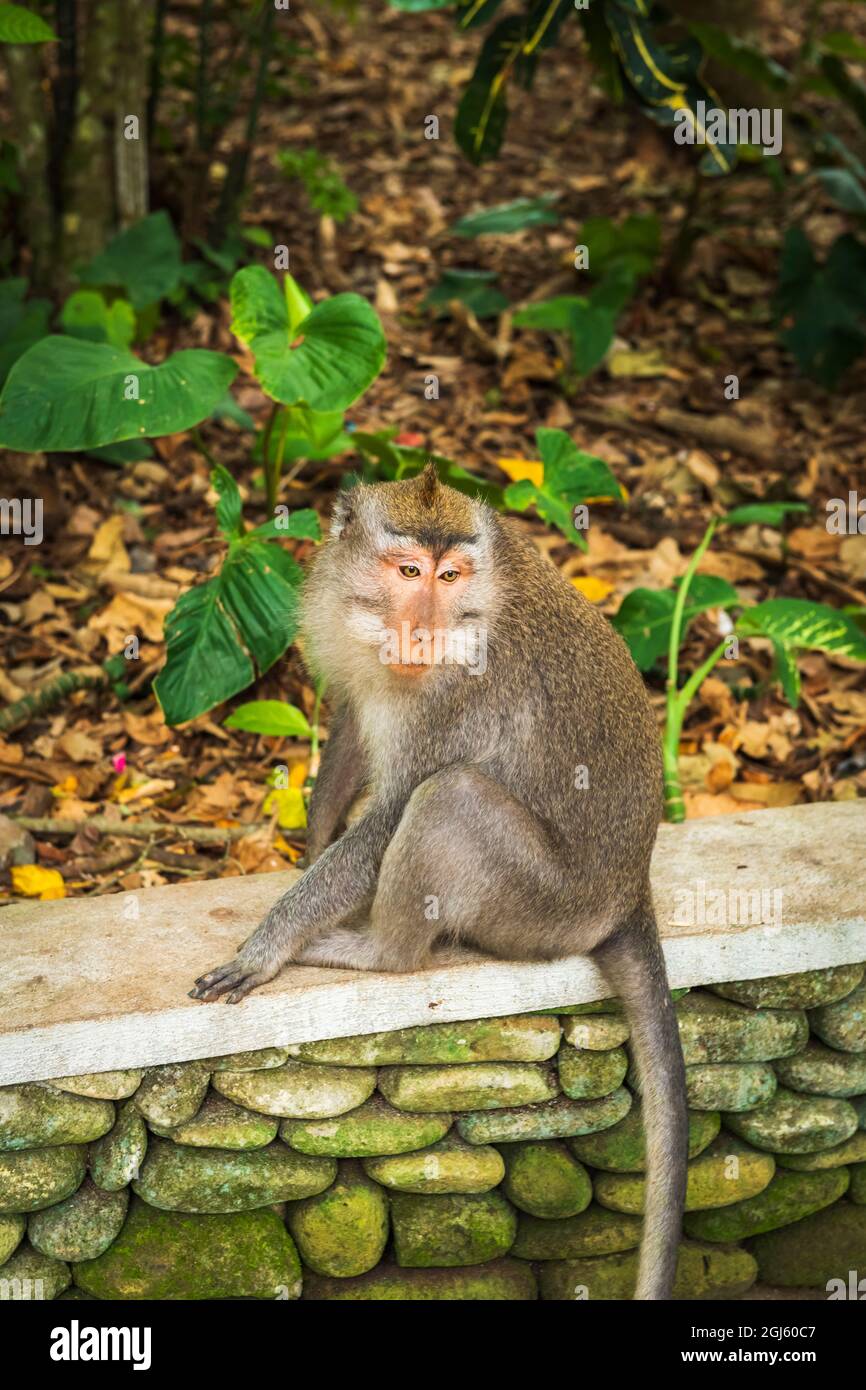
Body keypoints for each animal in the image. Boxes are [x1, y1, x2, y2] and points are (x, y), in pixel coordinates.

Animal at [191, 461, 692, 1295]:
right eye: (408, 572)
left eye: (450, 576)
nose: (422, 627)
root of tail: (630, 894)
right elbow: (352, 730)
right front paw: (309, 847)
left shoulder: (461, 692)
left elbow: (393, 813)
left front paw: (271, 943)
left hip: (545, 905)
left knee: (450, 797)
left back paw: (376, 951)